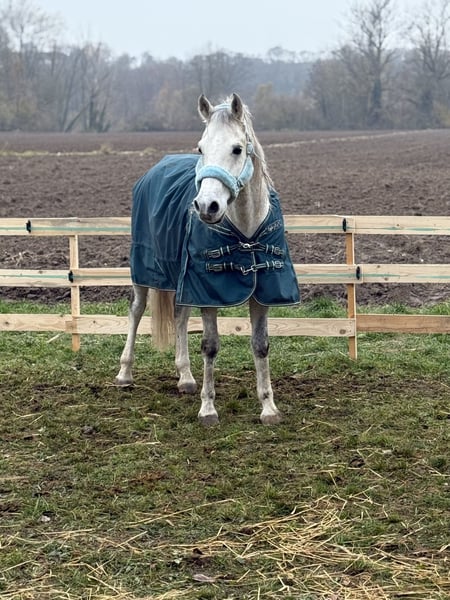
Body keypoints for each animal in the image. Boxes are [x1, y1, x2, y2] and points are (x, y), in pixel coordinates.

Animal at [115, 93, 299, 425]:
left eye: (237, 148)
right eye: (201, 148)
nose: (206, 206)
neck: (245, 232)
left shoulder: (261, 294)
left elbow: (261, 346)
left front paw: (268, 407)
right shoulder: (208, 294)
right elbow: (210, 346)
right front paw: (208, 408)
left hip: (181, 279)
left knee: (179, 317)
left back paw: (186, 378)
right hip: (144, 275)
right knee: (135, 312)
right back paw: (125, 372)